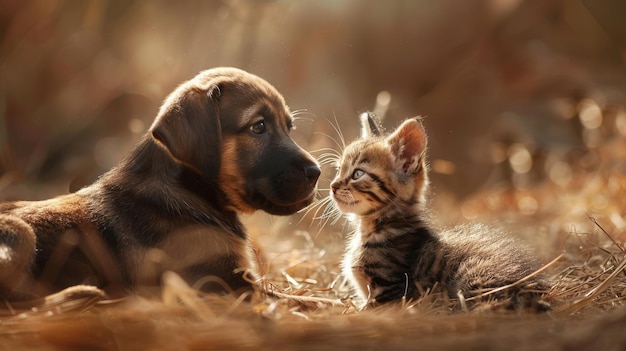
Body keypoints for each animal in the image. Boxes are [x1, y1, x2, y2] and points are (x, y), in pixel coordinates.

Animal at [0, 67, 320, 302]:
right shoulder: (226, 283)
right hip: (20, 233)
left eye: (288, 127)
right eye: (258, 126)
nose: (316, 172)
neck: (190, 193)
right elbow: (306, 300)